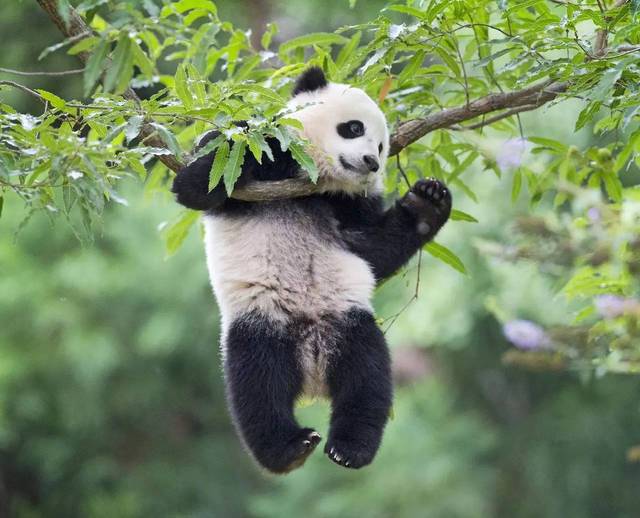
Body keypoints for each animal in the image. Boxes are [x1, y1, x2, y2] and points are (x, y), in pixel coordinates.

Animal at [170, 68, 450, 476]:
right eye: (353, 128)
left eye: (383, 147)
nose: (371, 161)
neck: (317, 183)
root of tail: (312, 370)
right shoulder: (266, 156)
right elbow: (209, 177)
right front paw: (218, 161)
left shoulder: (350, 204)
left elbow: (372, 251)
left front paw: (427, 203)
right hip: (262, 323)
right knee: (257, 385)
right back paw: (288, 449)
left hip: (346, 322)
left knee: (368, 378)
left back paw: (350, 448)